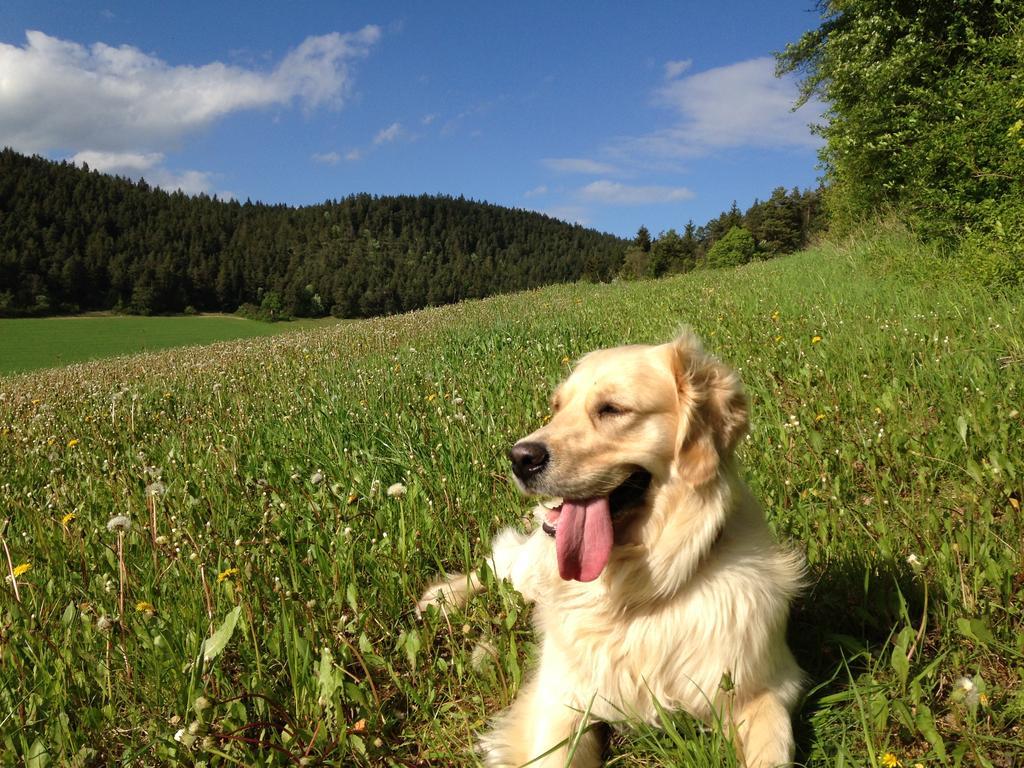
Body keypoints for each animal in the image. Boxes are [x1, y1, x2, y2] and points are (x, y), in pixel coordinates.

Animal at [419, 331, 802, 768]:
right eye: (557, 407)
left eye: (612, 409)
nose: (519, 458)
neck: (635, 593)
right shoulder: (560, 697)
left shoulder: (765, 686)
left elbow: (773, 751)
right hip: (528, 570)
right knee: (501, 562)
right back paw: (441, 598)